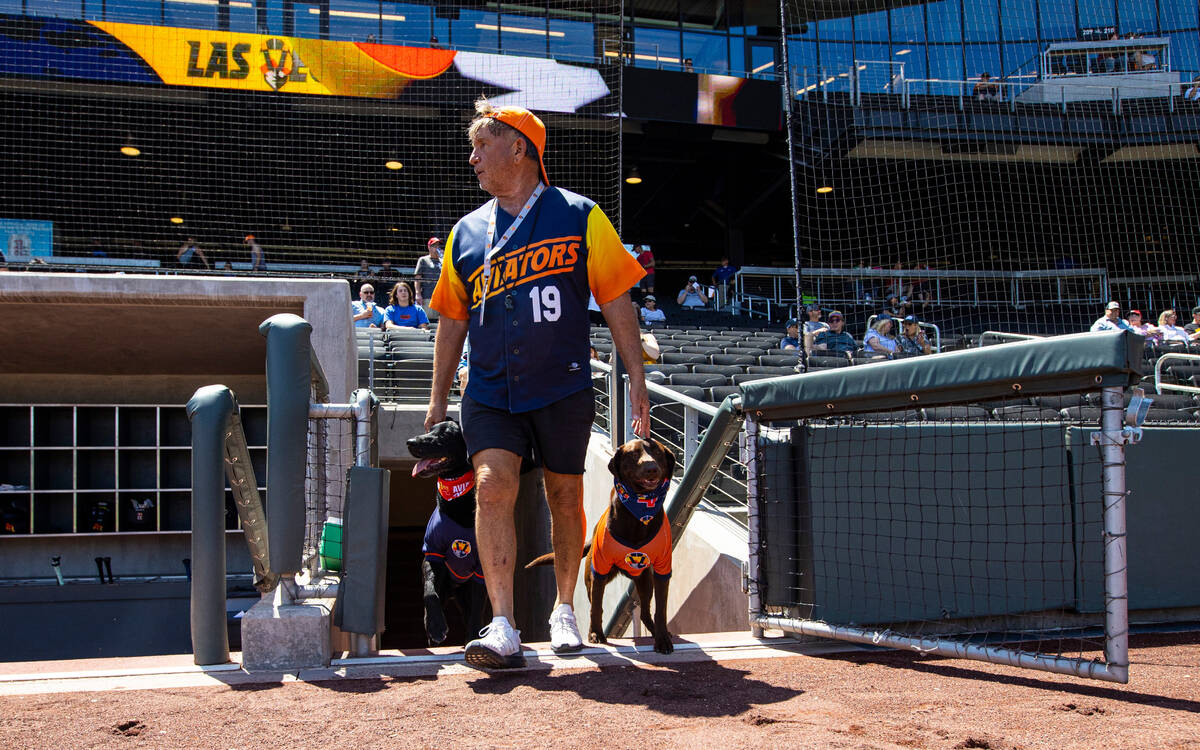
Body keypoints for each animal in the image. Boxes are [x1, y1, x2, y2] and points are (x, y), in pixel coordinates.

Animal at [408, 417, 487, 648]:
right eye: (429, 429)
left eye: (444, 435)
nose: (410, 442)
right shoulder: (432, 553)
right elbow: (429, 592)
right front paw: (435, 626)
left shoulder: (481, 571)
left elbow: (476, 611)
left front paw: (473, 638)